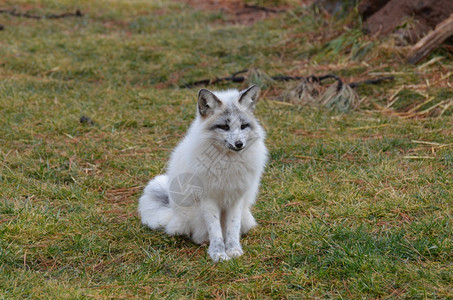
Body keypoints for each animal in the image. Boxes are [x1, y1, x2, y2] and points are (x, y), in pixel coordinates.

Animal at [136, 85, 266, 262]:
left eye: (243, 126)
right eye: (224, 127)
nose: (239, 144)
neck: (226, 163)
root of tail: (173, 214)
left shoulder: (236, 198)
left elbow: (232, 228)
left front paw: (233, 250)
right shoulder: (207, 199)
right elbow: (215, 231)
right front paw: (219, 254)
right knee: (197, 235)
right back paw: (203, 242)